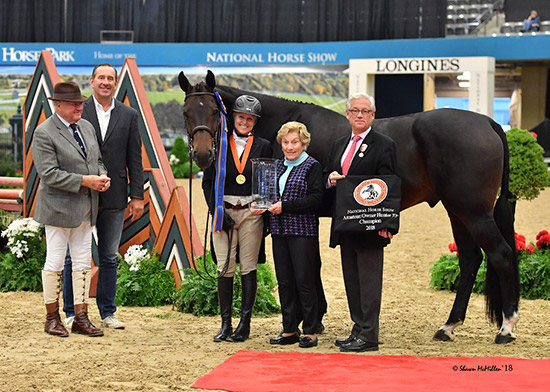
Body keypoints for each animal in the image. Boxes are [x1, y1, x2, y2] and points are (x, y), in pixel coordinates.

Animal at [181, 69, 520, 344]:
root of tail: (488, 122)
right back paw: (448, 326)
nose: (203, 155)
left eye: (214, 110)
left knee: (501, 255)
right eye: (186, 111)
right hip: (457, 212)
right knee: (470, 260)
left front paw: (309, 322)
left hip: (473, 212)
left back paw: (506, 328)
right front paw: (314, 320)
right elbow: (313, 264)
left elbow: (308, 264)